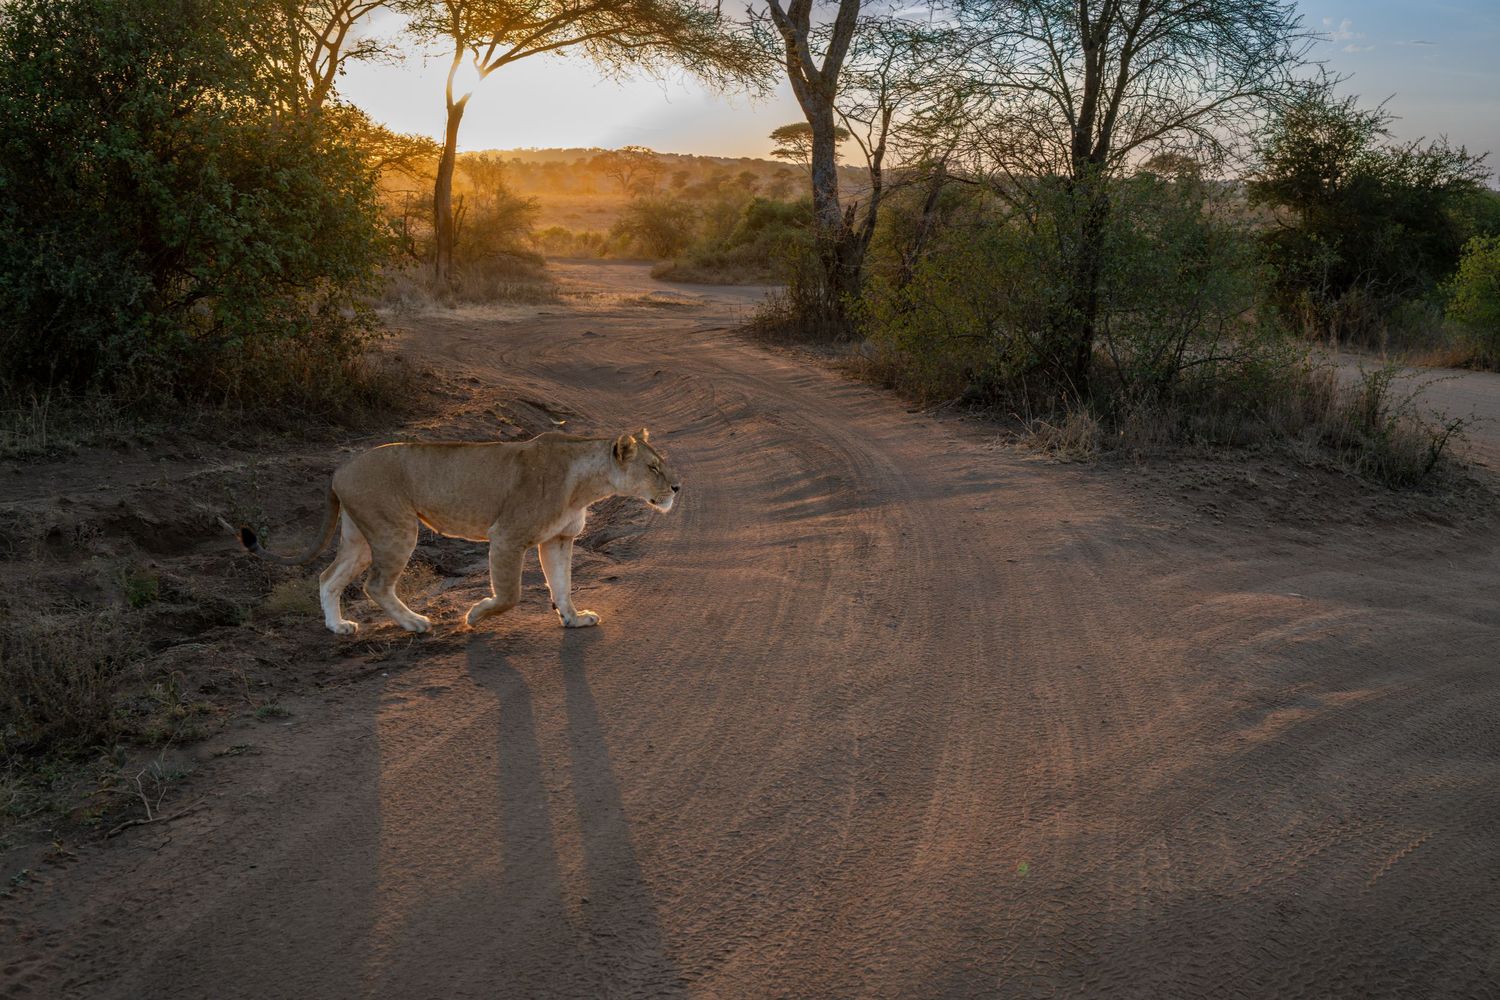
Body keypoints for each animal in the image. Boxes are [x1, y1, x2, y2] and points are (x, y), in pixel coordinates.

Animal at [238, 429, 680, 634]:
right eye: (653, 467)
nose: (678, 487)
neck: (587, 484)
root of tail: (339, 470)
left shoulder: (559, 539)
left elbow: (563, 585)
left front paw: (573, 618)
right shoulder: (507, 536)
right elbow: (509, 594)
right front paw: (475, 614)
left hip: (359, 536)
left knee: (328, 576)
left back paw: (338, 627)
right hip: (396, 528)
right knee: (375, 584)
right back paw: (414, 623)